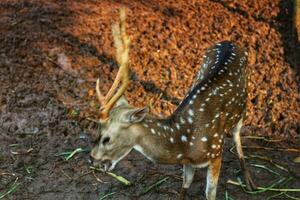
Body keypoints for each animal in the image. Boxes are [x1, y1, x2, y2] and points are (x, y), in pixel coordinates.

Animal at [91, 8, 255, 200]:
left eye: (106, 138)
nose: (91, 158)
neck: (183, 142)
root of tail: (230, 41)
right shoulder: (189, 162)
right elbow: (185, 184)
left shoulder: (216, 152)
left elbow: (210, 193)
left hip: (243, 105)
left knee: (237, 135)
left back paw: (249, 181)